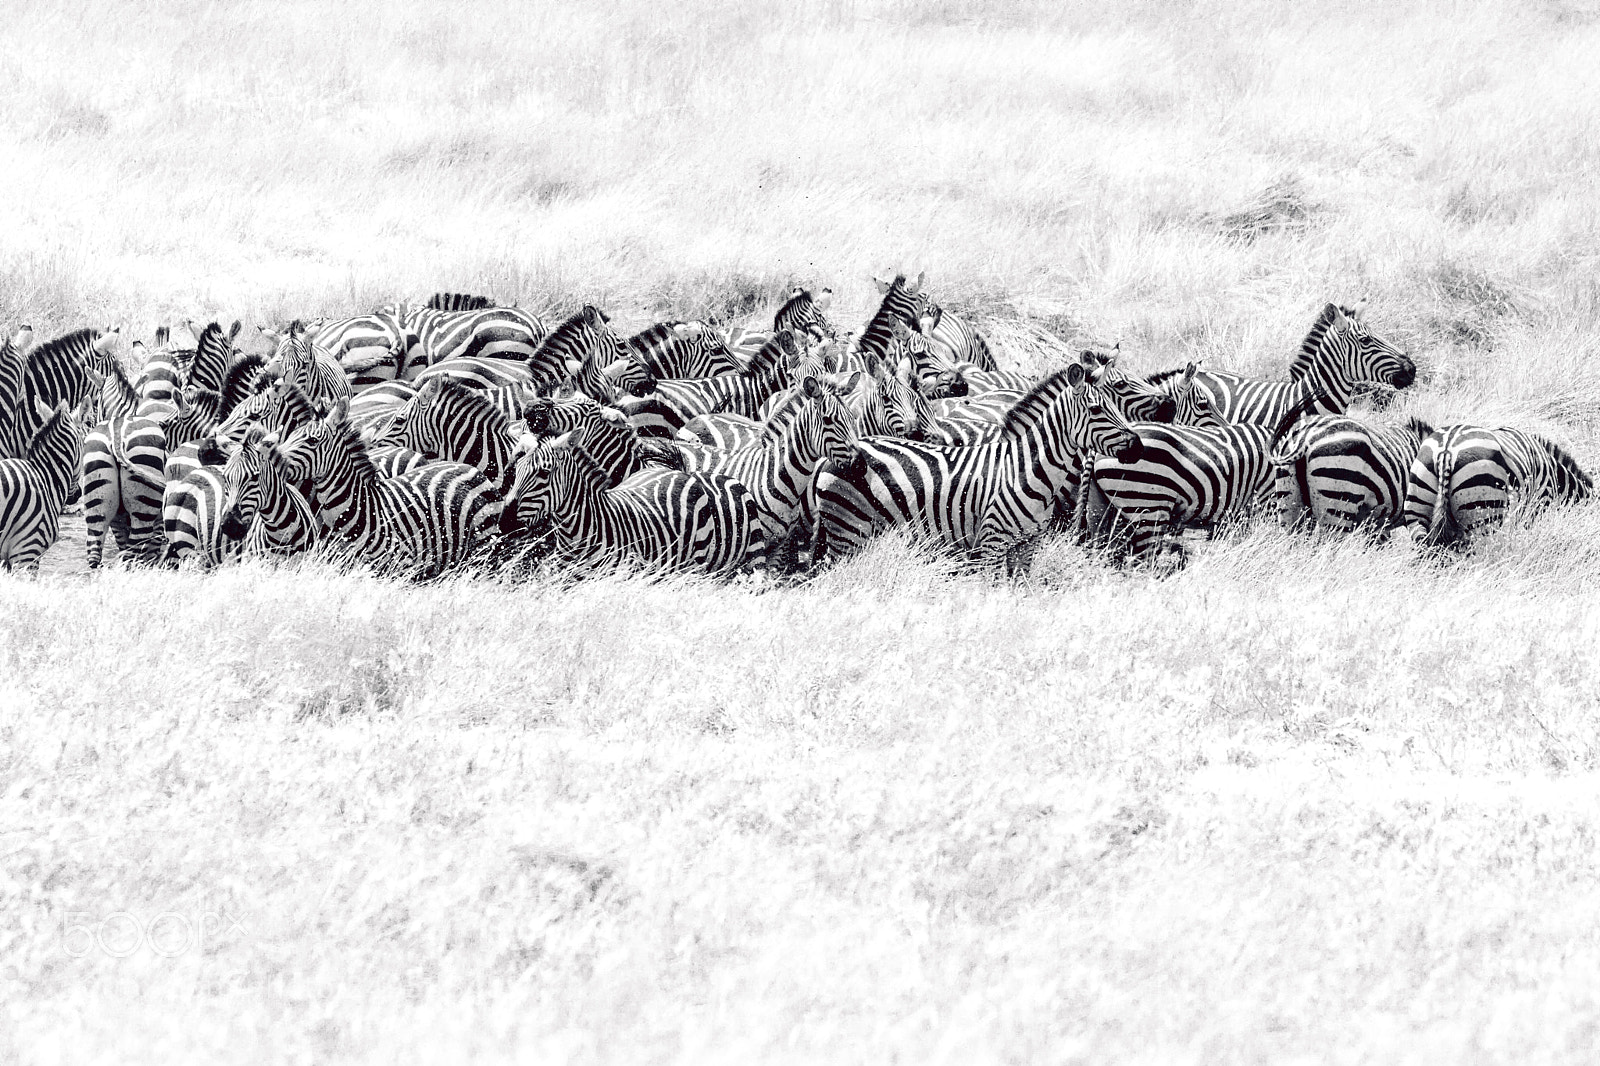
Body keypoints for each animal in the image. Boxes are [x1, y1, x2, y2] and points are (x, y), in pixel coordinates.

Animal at [280, 401, 499, 577]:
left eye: (312, 440)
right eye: (290, 435)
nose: (274, 458)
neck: (362, 511)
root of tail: (469, 467)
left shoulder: (400, 568)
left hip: (483, 544)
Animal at [811, 363, 1143, 574]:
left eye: (1115, 406)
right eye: (1097, 410)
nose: (1138, 446)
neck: (1024, 470)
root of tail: (830, 458)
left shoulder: (1026, 546)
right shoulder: (991, 544)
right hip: (849, 533)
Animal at [1077, 392, 1324, 566]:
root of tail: (1097, 450)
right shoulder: (1265, 498)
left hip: (1099, 507)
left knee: (1104, 551)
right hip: (1148, 505)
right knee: (1145, 561)